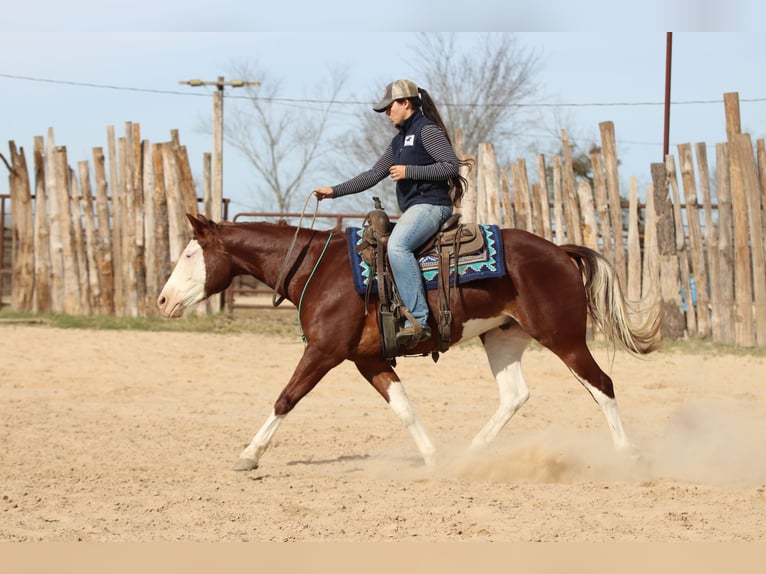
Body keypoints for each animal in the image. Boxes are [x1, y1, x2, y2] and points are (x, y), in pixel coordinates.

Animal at [157, 212, 661, 471]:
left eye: (190, 254)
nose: (163, 299)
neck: (319, 269)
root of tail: (559, 251)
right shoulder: (366, 360)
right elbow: (404, 407)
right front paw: (434, 458)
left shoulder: (323, 352)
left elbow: (287, 397)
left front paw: (249, 454)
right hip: (502, 337)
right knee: (515, 395)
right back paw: (473, 453)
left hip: (563, 336)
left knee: (602, 385)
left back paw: (628, 455)